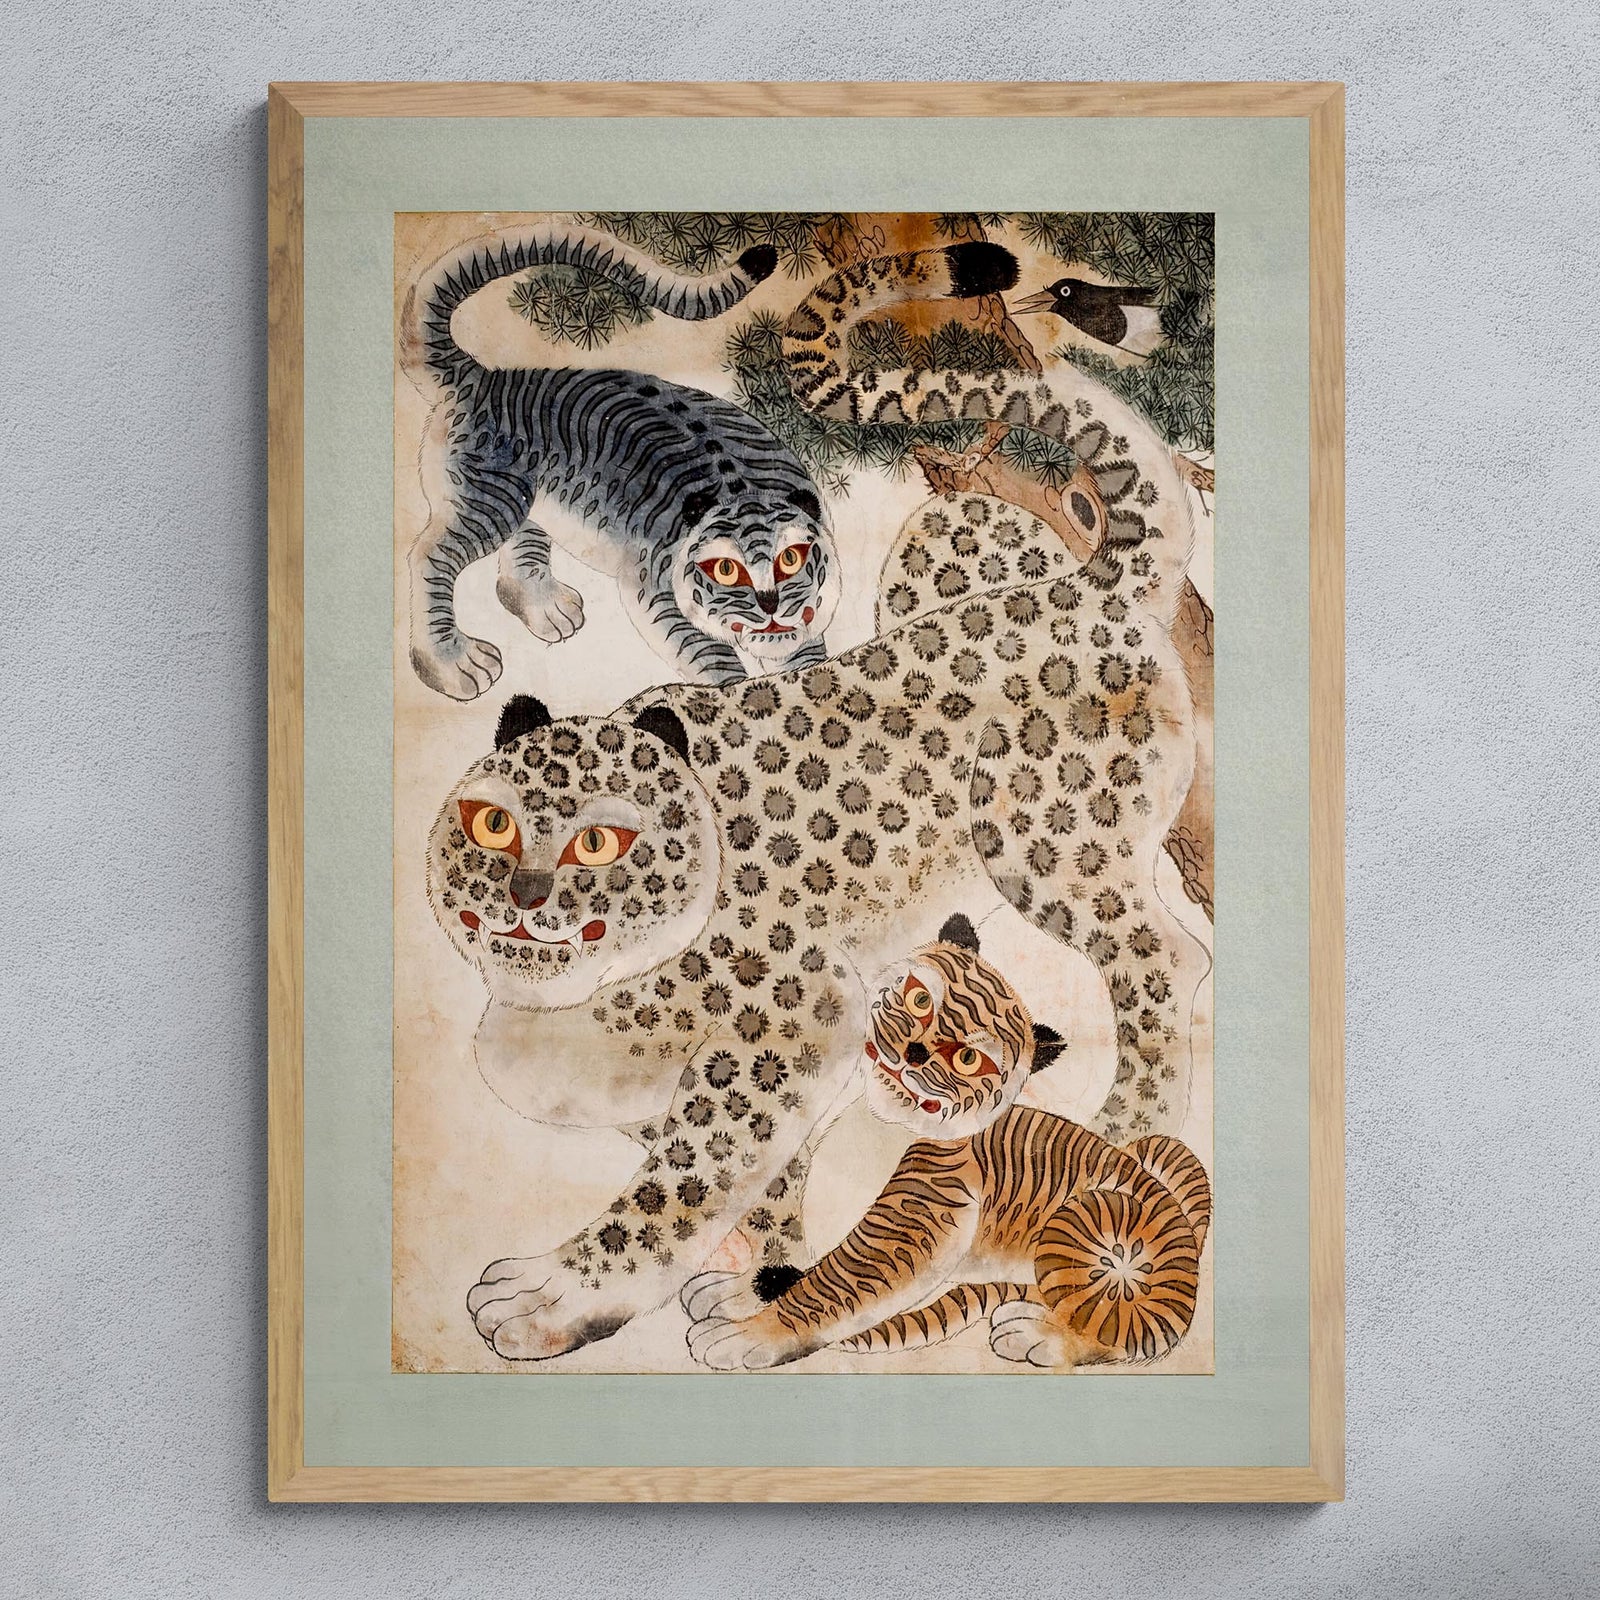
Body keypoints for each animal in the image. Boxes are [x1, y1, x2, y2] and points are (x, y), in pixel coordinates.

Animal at [684, 917, 1210, 1371]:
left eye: (968, 1059)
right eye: (921, 1001)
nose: (916, 1050)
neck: (877, 1120)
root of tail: (1192, 1245)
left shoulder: (903, 1231)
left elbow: (823, 1290)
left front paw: (744, 1335)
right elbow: (800, 1269)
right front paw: (732, 1292)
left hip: (1091, 1216)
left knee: (1122, 1331)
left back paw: (1035, 1333)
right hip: (1162, 1149)